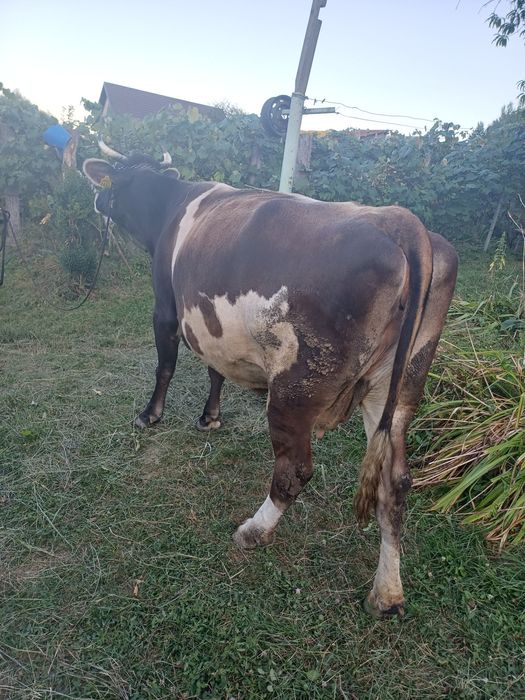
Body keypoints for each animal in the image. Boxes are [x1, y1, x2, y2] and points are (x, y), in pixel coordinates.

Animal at [83, 146, 457, 618]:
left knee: (294, 470)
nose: (97, 200)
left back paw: (252, 531)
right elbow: (216, 369)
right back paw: (387, 594)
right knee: (396, 483)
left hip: (294, 390)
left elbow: (165, 366)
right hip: (401, 387)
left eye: (114, 179)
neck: (170, 205)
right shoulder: (215, 330)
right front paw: (210, 417)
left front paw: (150, 415)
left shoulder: (165, 307)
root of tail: (401, 220)